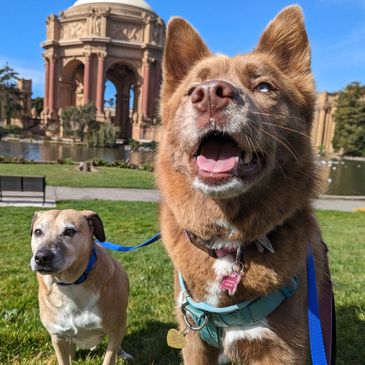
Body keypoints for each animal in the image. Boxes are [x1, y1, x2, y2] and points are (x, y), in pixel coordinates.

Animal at [29, 209, 130, 364]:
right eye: (38, 231)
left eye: (69, 231)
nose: (41, 257)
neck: (70, 284)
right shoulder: (58, 337)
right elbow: (63, 359)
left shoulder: (117, 328)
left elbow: (109, 357)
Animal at [155, 5, 332, 364]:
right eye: (193, 87)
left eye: (263, 87)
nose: (209, 94)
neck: (229, 243)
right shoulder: (194, 340)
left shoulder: (283, 348)